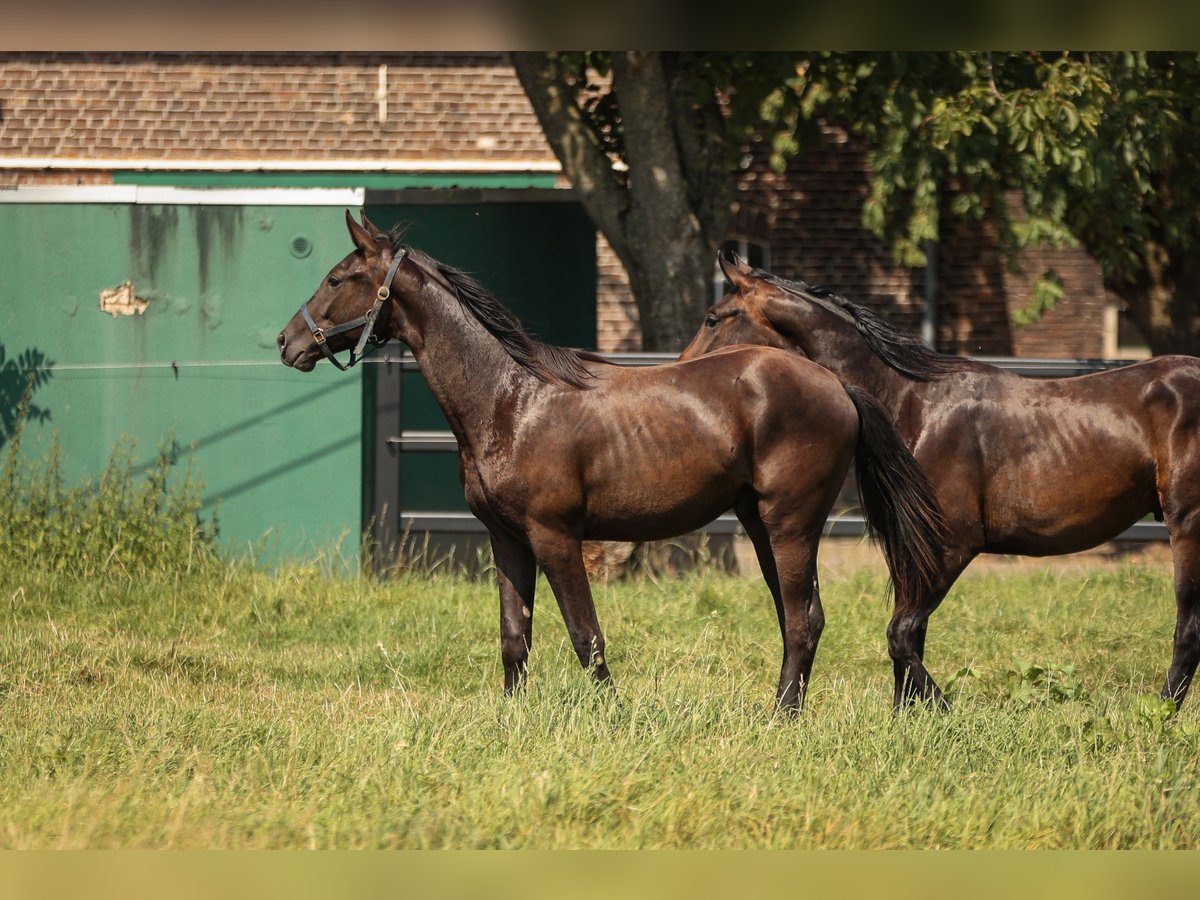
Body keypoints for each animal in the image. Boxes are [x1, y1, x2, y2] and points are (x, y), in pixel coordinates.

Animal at [278, 214, 945, 715]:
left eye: (337, 278)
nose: (289, 343)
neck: (510, 399)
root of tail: (834, 384)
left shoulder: (555, 536)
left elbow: (585, 635)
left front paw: (612, 714)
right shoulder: (506, 540)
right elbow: (514, 638)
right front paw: (511, 717)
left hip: (790, 525)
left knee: (803, 621)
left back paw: (781, 719)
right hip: (760, 526)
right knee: (799, 617)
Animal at [681, 252, 1200, 710]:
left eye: (712, 317)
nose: (683, 369)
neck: (915, 404)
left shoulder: (953, 545)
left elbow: (900, 636)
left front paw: (944, 712)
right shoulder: (913, 550)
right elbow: (910, 637)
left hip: (1186, 525)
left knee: (1188, 629)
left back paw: (1162, 711)